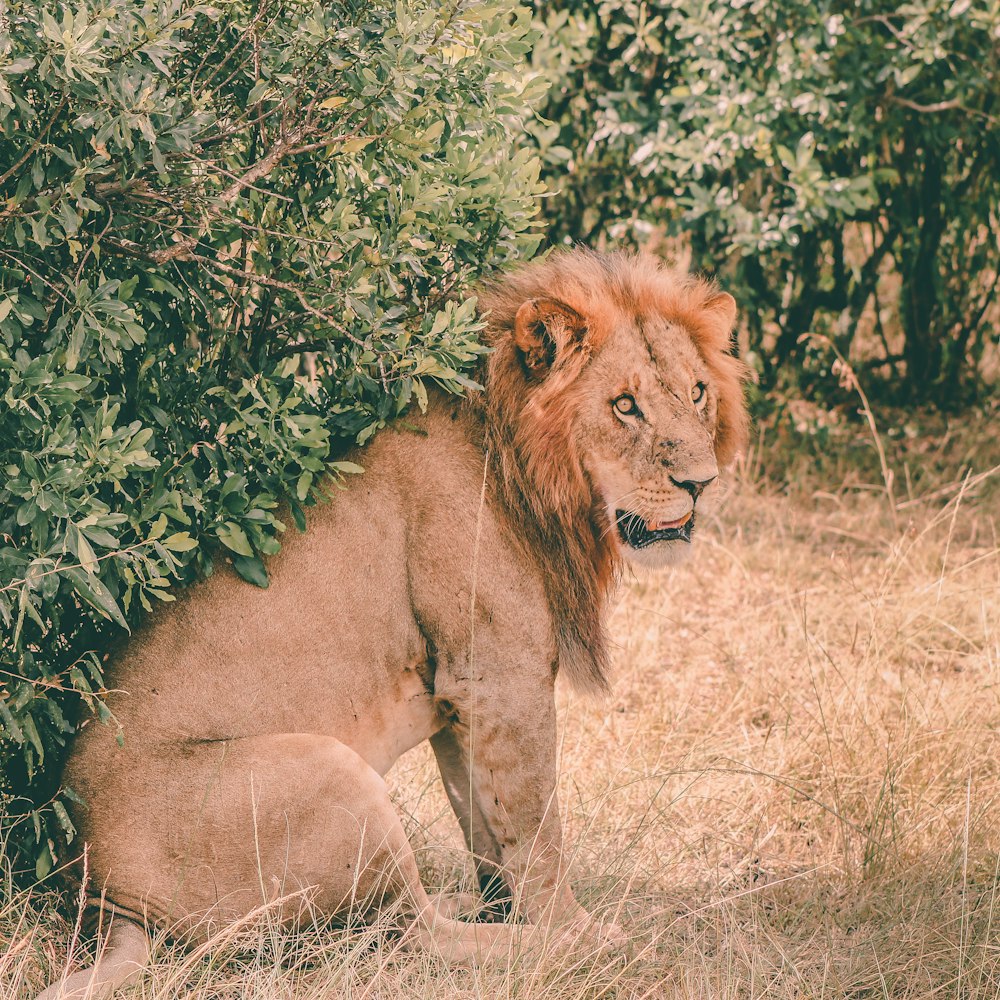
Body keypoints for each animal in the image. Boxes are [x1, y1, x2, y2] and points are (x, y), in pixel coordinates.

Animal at [35, 250, 748, 1000]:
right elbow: (539, 833)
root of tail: (102, 897)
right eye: (625, 405)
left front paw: (506, 905)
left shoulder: (464, 695)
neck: (535, 475)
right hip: (333, 777)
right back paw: (583, 946)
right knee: (414, 936)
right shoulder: (504, 677)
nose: (701, 482)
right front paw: (569, 927)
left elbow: (488, 828)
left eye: (698, 393)